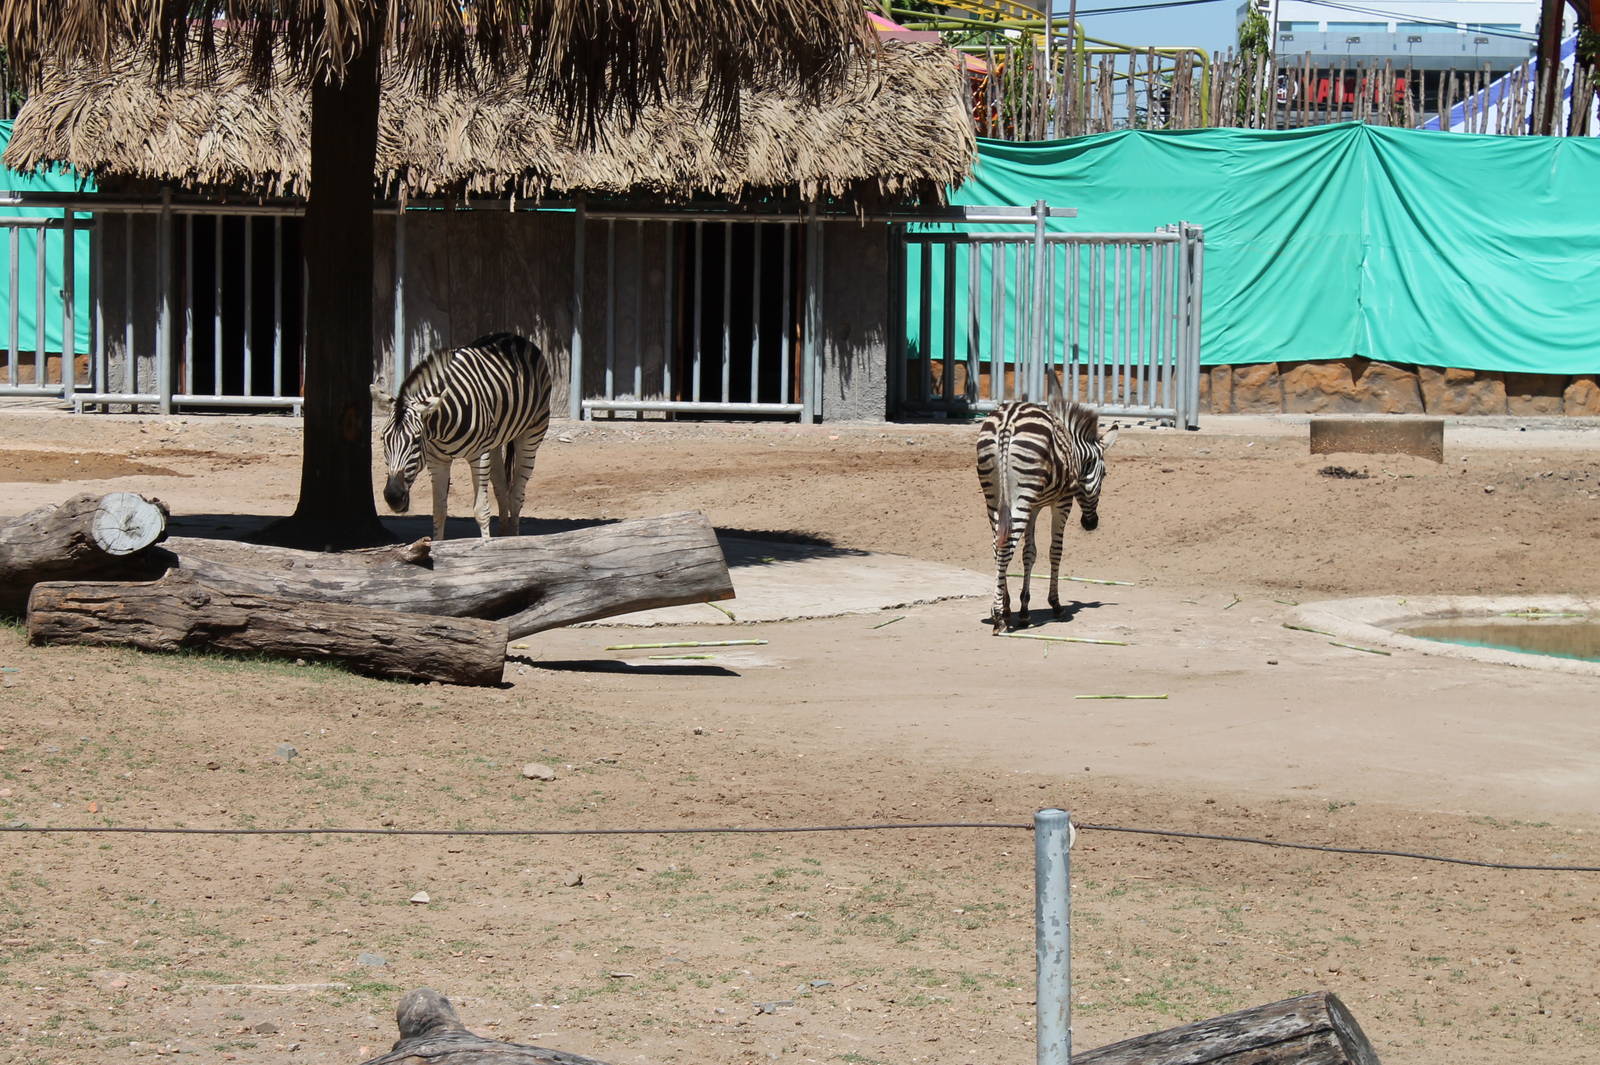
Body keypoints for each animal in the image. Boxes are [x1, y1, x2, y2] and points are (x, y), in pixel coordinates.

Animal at [372, 331, 553, 541]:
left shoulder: (479, 457)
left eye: (416, 440)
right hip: (494, 444)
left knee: (516, 495)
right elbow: (439, 511)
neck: (442, 427)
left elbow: (481, 511)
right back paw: (502, 537)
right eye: (383, 440)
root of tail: (512, 336)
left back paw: (514, 539)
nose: (393, 497)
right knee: (501, 490)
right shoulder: (436, 462)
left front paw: (486, 545)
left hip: (532, 432)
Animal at [976, 377, 1119, 634]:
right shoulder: (1061, 502)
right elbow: (1055, 551)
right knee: (1005, 547)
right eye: (1104, 474)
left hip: (993, 497)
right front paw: (1055, 604)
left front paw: (1022, 609)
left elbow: (1029, 552)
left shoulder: (1034, 506)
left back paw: (1003, 608)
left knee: (997, 545)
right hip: (1021, 496)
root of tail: (1007, 422)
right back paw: (999, 618)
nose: (1091, 524)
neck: (1075, 451)